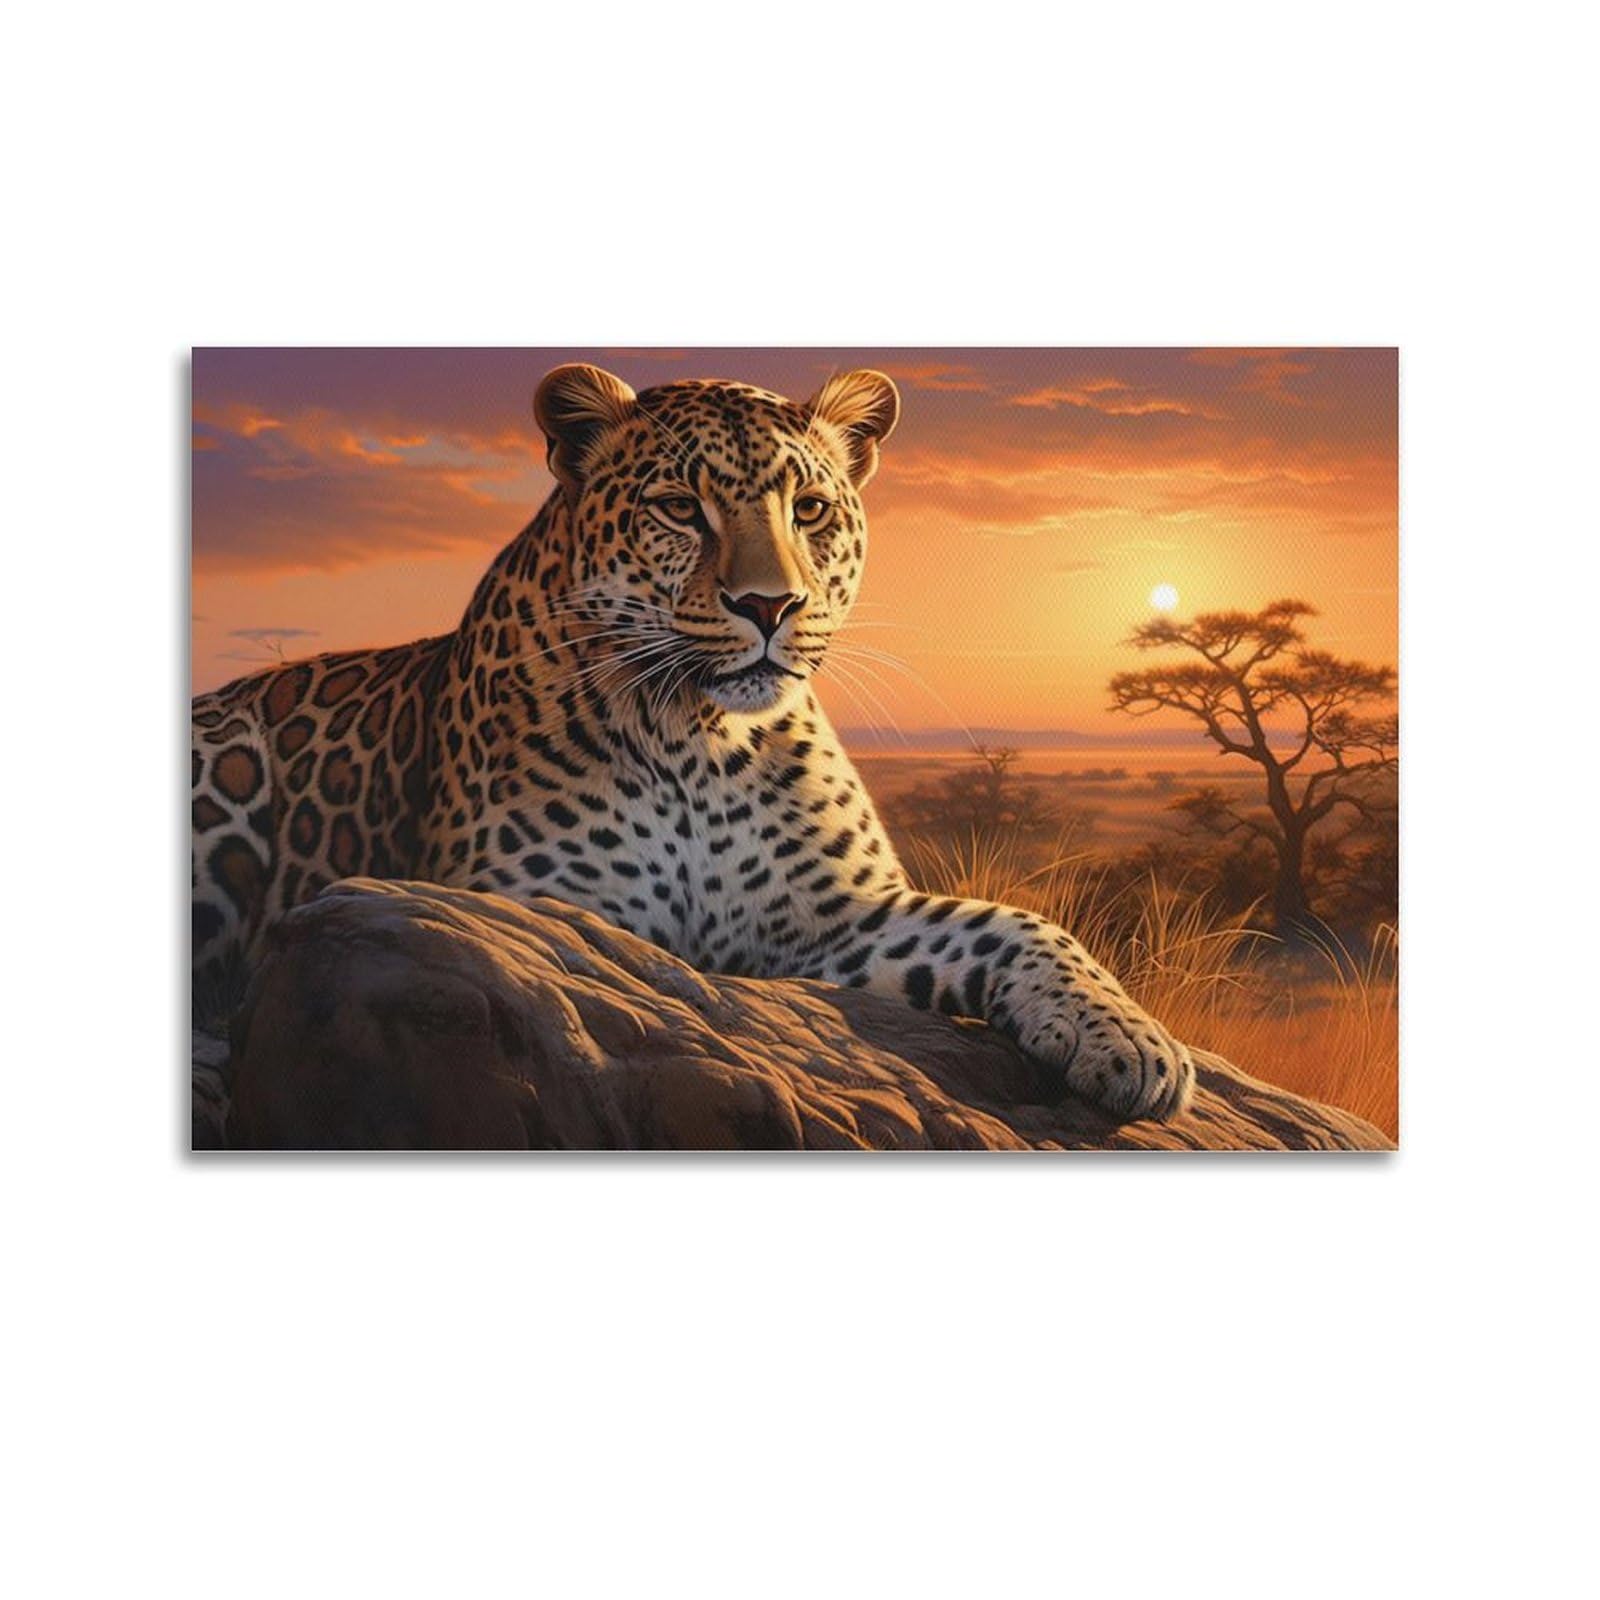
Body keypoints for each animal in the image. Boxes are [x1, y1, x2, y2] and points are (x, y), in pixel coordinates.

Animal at [192, 363, 1196, 1121]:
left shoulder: (832, 926)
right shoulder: (561, 919)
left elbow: (1015, 923)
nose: (769, 606)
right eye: (680, 507)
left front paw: (1131, 1041)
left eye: (811, 510)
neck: (699, 744)